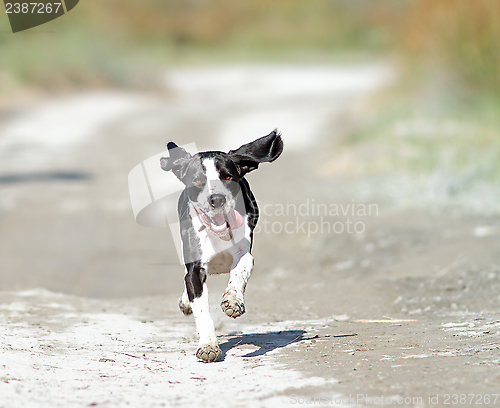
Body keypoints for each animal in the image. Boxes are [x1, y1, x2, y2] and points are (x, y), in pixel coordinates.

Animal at [161, 129, 284, 362]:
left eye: (227, 177)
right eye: (198, 180)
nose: (216, 199)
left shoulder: (245, 253)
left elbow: (239, 272)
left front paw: (233, 301)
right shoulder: (195, 268)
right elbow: (201, 308)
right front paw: (208, 345)